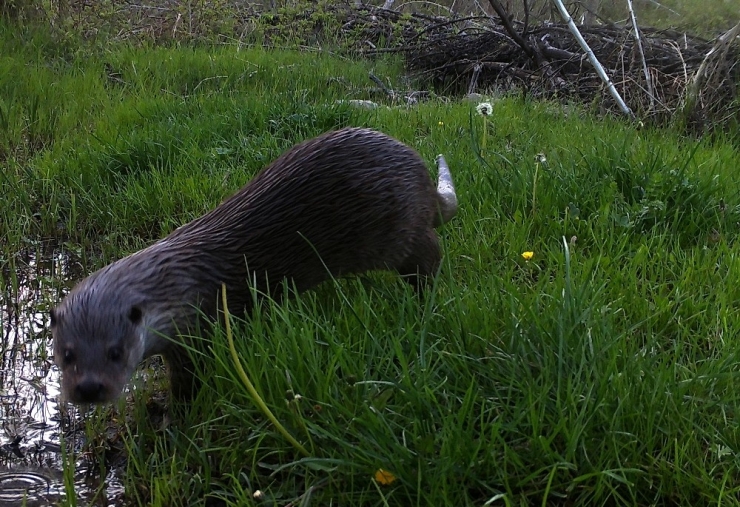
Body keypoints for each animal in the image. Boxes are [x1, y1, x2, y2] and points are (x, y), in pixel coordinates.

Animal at [49, 127, 456, 404]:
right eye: (67, 354)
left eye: (115, 352)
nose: (88, 389)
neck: (176, 283)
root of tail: (419, 174)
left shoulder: (197, 334)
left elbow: (189, 383)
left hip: (402, 233)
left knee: (430, 255)